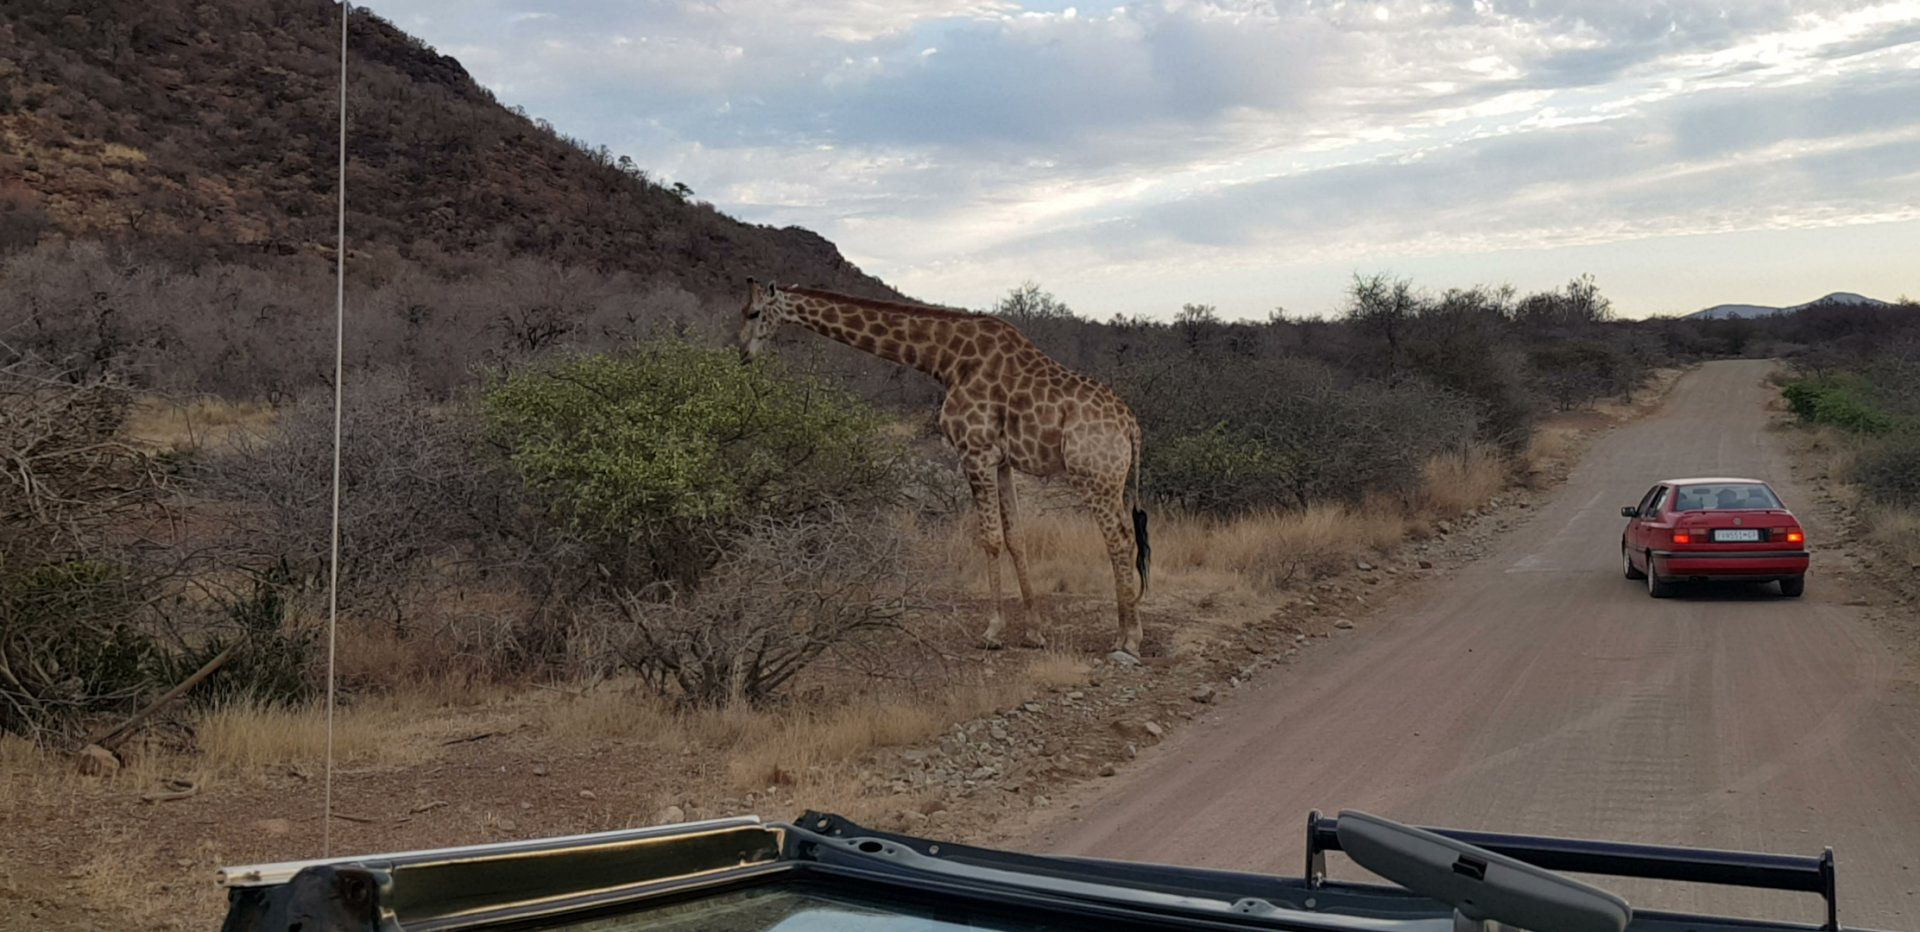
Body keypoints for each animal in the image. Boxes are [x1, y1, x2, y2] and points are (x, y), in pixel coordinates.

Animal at [737, 280, 1152, 649]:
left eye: (753, 312)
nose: (742, 353)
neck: (946, 359)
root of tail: (1132, 426)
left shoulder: (975, 452)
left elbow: (990, 539)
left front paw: (993, 632)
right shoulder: (1002, 461)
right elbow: (1016, 538)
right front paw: (1034, 633)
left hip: (1094, 478)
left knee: (1118, 541)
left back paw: (1128, 639)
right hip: (1112, 482)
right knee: (1129, 539)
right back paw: (1129, 632)